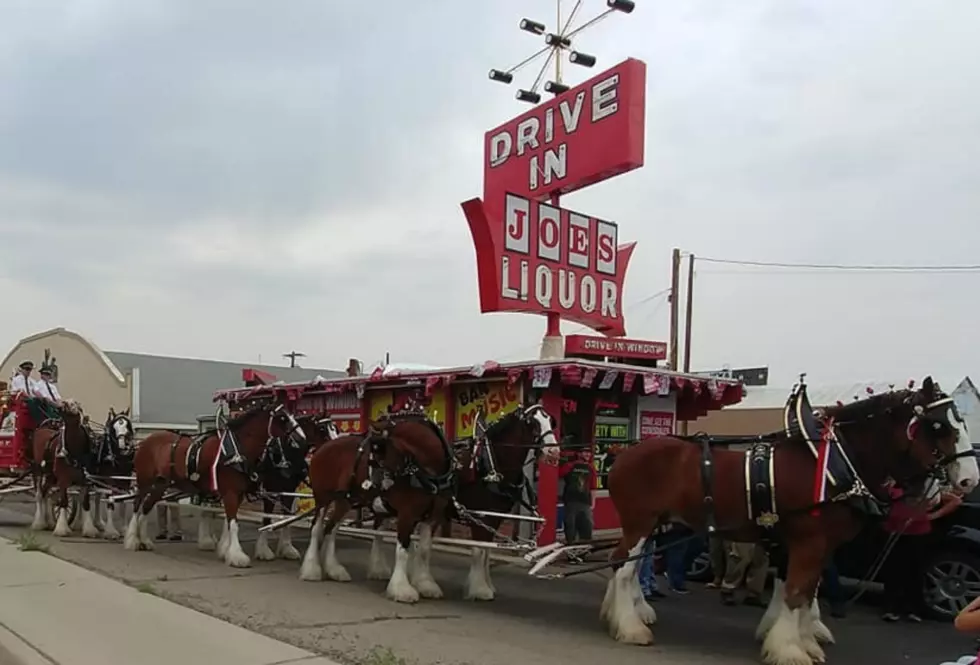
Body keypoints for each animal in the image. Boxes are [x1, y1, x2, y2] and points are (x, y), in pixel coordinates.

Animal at [128, 400, 302, 564]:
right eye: (283, 417)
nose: (302, 437)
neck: (235, 450)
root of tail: (145, 441)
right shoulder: (231, 492)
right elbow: (233, 524)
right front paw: (237, 556)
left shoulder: (237, 494)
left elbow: (230, 522)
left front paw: (225, 551)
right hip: (144, 483)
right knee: (137, 506)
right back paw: (132, 541)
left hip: (160, 485)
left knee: (146, 508)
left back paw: (144, 541)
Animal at [600, 376, 976, 664]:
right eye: (939, 425)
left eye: (961, 422)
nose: (970, 480)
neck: (832, 462)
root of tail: (623, 452)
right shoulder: (809, 541)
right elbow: (797, 592)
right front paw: (790, 649)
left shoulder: (804, 543)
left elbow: (804, 591)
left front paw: (801, 638)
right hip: (640, 521)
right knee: (623, 565)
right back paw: (631, 627)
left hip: (653, 523)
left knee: (630, 563)